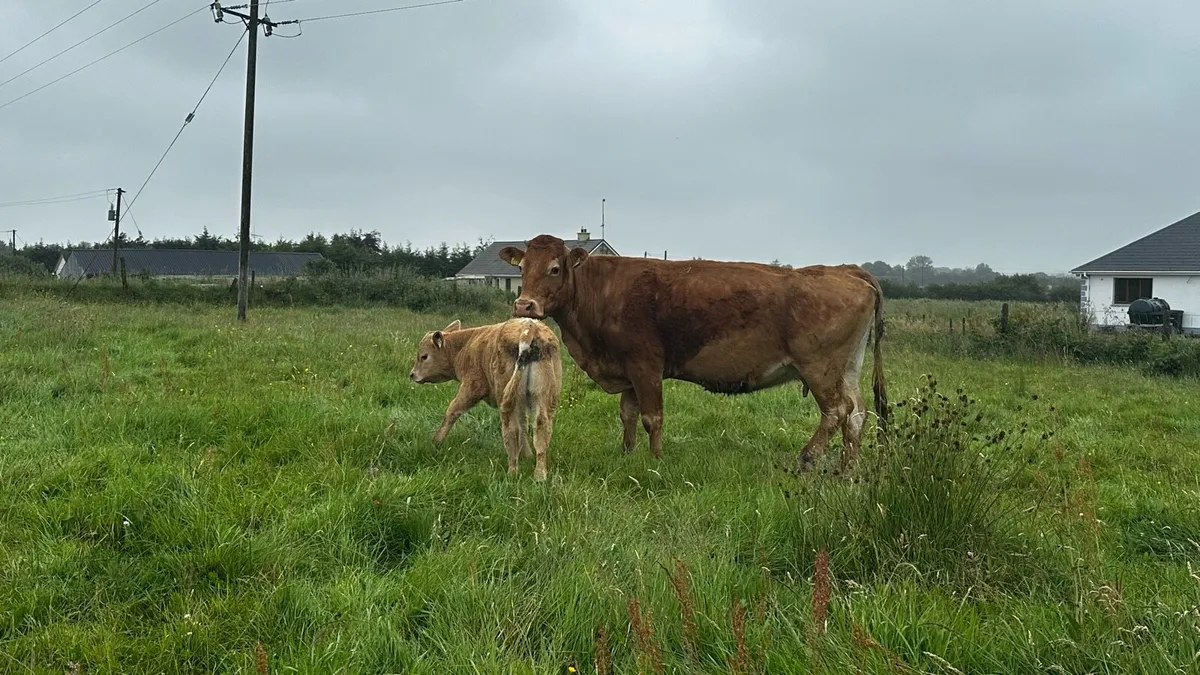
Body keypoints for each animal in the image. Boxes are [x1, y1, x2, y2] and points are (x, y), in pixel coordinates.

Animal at [409, 317, 563, 481]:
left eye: (424, 356)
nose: (412, 374)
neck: (465, 346)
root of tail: (530, 326)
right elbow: (523, 424)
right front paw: (527, 455)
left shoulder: (472, 387)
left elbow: (452, 411)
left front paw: (436, 441)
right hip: (543, 398)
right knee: (541, 427)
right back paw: (540, 475)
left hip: (506, 398)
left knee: (511, 429)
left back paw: (512, 471)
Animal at [497, 235, 889, 474]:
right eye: (522, 268)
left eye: (555, 268)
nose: (524, 304)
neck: (603, 292)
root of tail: (847, 270)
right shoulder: (626, 368)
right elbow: (627, 414)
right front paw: (627, 453)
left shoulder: (645, 364)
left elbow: (652, 417)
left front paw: (656, 460)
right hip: (847, 367)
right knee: (857, 414)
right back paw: (847, 470)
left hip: (819, 367)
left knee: (837, 411)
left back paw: (808, 458)